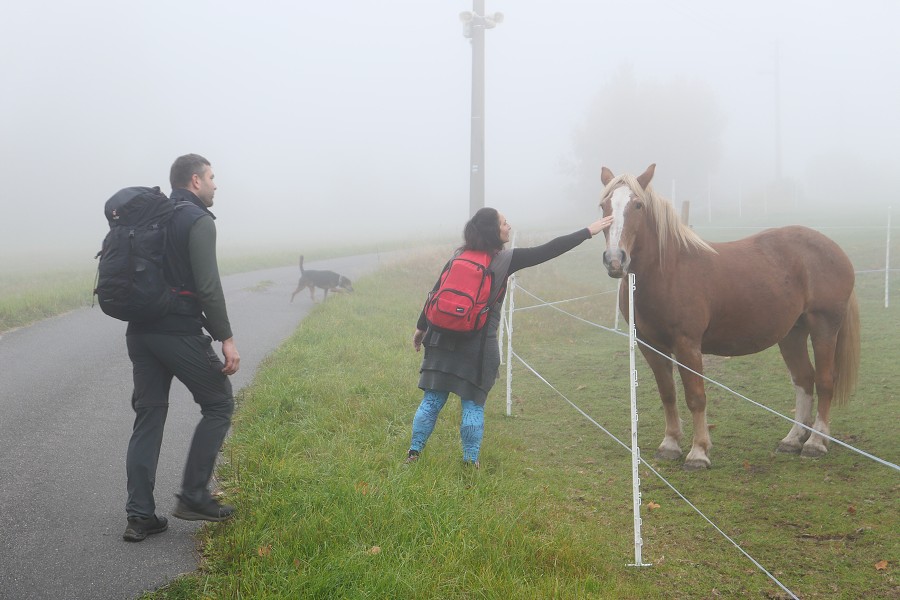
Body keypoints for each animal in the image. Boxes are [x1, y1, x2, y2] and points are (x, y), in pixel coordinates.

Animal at [596, 163, 856, 468]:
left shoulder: (687, 345)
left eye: (637, 205)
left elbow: (695, 396)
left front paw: (698, 452)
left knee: (825, 380)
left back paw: (816, 442)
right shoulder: (649, 345)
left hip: (824, 326)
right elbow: (668, 394)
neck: (667, 270)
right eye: (603, 205)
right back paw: (792, 440)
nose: (615, 260)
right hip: (792, 333)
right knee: (804, 379)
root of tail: (834, 248)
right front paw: (670, 445)